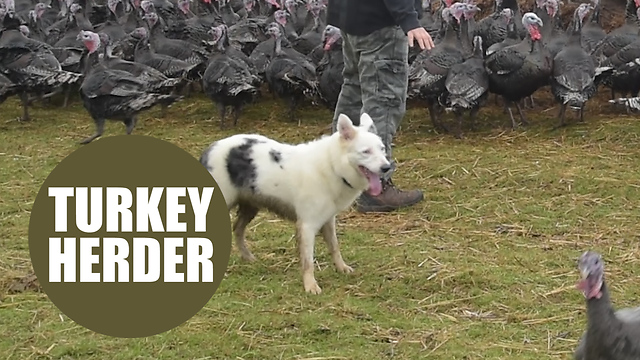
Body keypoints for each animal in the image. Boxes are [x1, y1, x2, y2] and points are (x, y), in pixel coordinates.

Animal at [200, 114, 390, 294]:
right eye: (366, 151)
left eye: (382, 149)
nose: (387, 167)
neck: (332, 165)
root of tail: (211, 148)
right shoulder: (307, 226)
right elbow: (308, 261)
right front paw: (310, 285)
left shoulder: (328, 220)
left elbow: (335, 247)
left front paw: (341, 267)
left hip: (250, 207)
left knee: (238, 230)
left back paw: (248, 258)